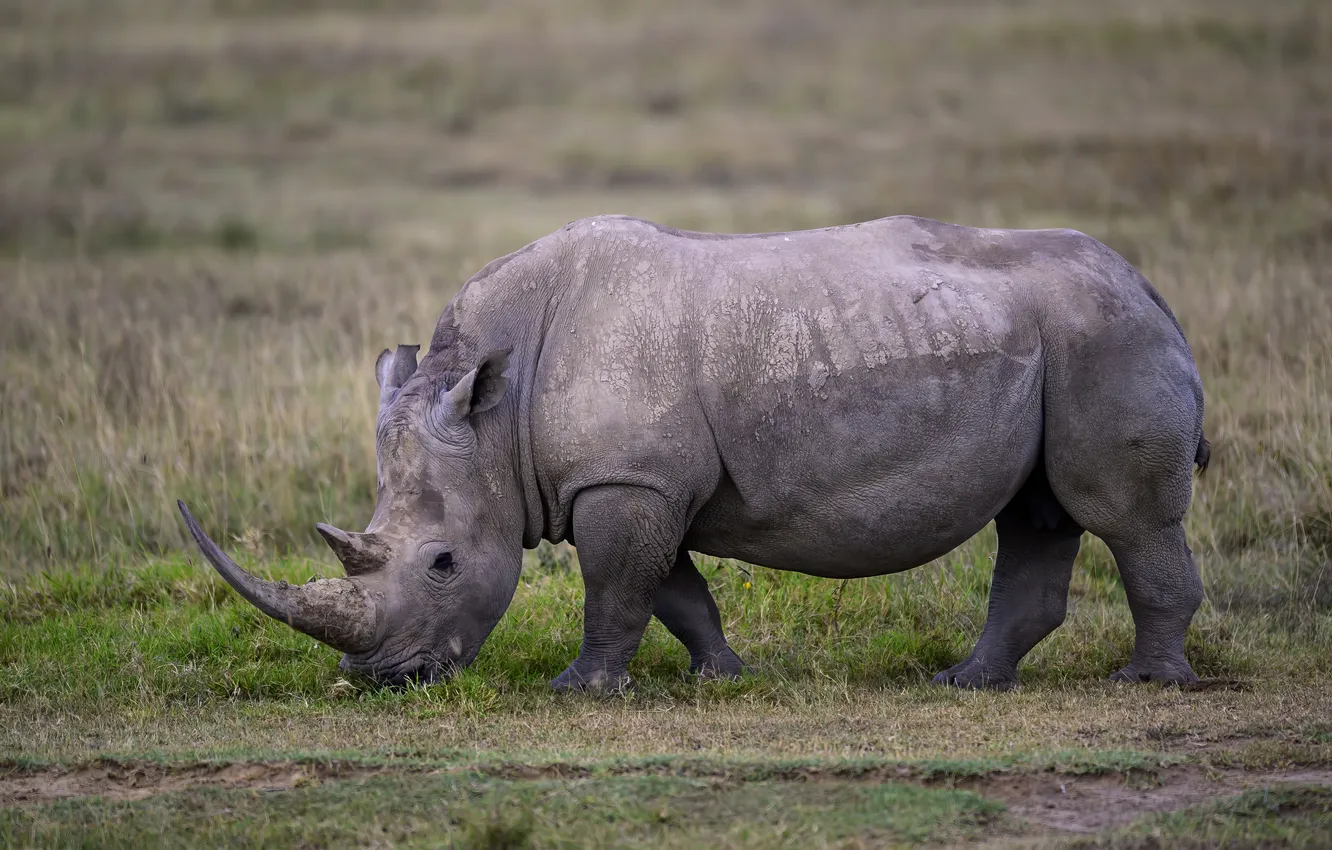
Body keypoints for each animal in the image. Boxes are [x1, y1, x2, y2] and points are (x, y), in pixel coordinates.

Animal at [179, 214, 1210, 692]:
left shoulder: (624, 479)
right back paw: (966, 683)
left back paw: (1146, 683)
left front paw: (580, 690)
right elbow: (673, 590)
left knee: (1122, 516)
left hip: (1104, 337)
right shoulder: (637, 480)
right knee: (1037, 512)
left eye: (441, 563)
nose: (387, 680)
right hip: (1062, 344)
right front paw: (722, 676)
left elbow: (617, 588)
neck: (494, 412)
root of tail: (1148, 285)